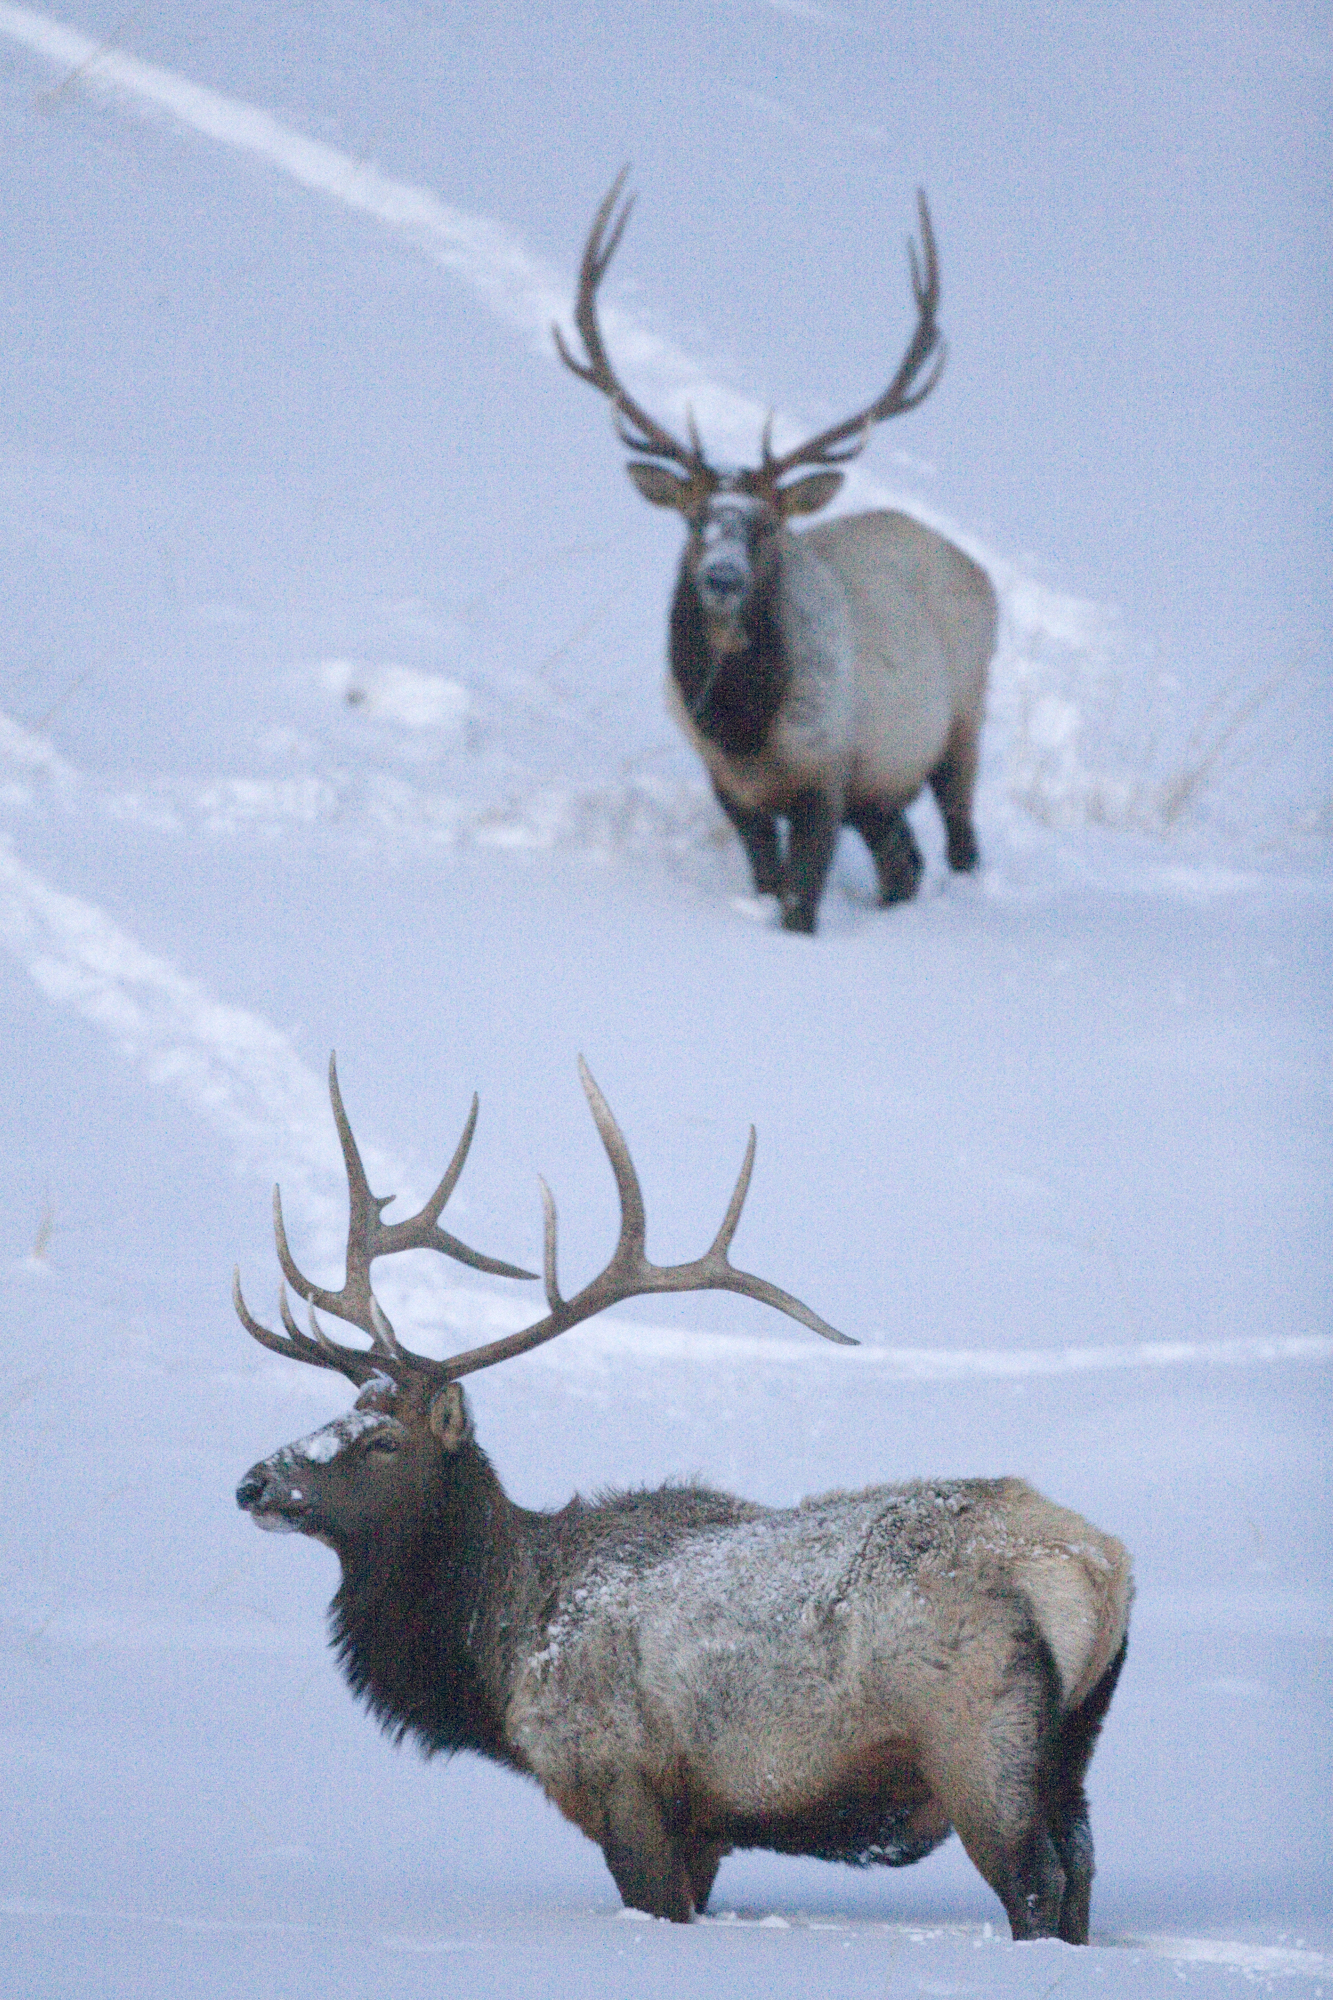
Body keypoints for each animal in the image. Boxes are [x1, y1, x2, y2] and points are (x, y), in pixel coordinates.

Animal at [235, 1057, 1131, 1942]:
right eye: (336, 1413)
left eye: (384, 1442)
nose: (253, 1482)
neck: (497, 1647)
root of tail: (1094, 1563)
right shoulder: (702, 1822)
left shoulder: (617, 1777)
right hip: (1074, 1741)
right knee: (1083, 1868)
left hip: (975, 1731)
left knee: (1036, 1886)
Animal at [554, 174, 999, 933]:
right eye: (696, 519)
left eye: (765, 526)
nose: (722, 577)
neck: (745, 730)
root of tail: (976, 569)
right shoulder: (733, 787)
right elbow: (767, 883)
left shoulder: (830, 776)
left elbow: (799, 905)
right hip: (885, 786)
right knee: (902, 866)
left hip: (961, 721)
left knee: (959, 841)